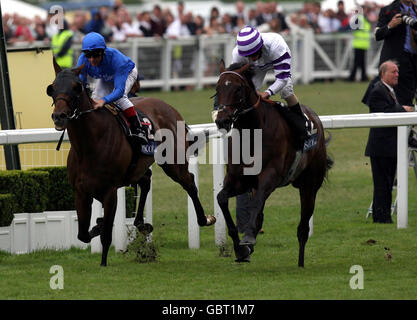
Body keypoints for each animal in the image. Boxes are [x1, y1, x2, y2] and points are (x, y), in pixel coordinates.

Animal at [46, 61, 213, 266]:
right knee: (146, 181)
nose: (59, 116)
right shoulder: (80, 192)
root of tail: (170, 108)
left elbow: (106, 235)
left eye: (76, 87)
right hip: (138, 167)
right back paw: (141, 223)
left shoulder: (110, 192)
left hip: (173, 162)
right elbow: (83, 234)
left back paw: (204, 219)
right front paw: (97, 225)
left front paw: (103, 263)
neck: (88, 145)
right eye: (52, 88)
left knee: (189, 181)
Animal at [214, 61, 332, 266]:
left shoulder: (269, 177)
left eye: (237, 89)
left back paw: (301, 263)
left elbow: (257, 202)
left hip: (309, 186)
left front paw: (247, 239)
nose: (222, 120)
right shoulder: (239, 181)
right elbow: (221, 198)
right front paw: (240, 248)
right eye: (217, 88)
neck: (252, 133)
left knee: (303, 228)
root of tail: (315, 118)